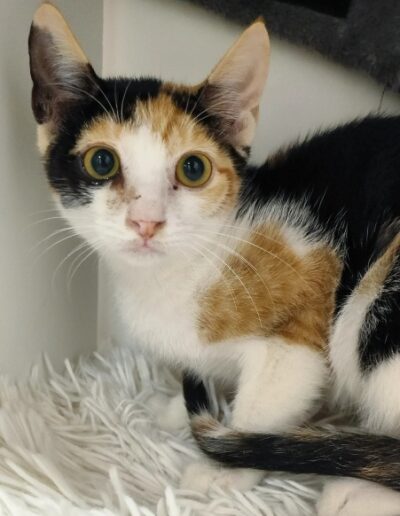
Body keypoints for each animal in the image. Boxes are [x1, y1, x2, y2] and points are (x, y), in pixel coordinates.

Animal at [29, 3, 400, 515]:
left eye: (194, 169)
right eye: (101, 162)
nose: (146, 222)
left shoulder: (300, 324)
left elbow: (266, 403)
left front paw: (224, 469)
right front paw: (171, 406)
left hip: (372, 309)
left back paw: (359, 491)